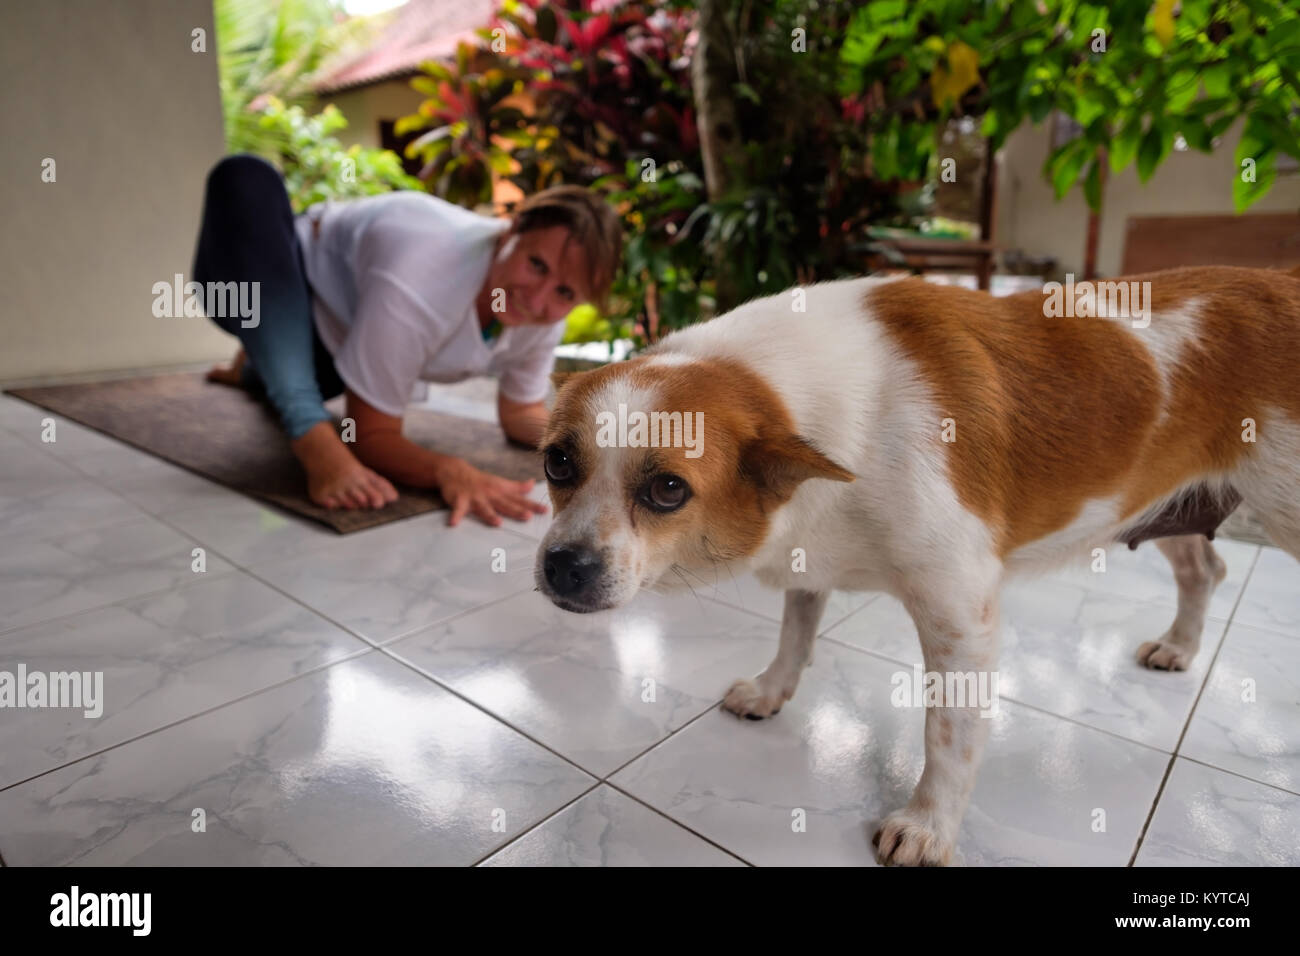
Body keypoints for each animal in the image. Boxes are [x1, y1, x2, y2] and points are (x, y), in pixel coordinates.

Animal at [530, 267, 1300, 868]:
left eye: (667, 489)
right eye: (556, 461)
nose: (563, 566)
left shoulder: (960, 610)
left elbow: (949, 735)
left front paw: (930, 825)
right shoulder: (812, 554)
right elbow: (796, 630)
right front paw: (774, 688)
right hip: (1165, 500)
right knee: (1204, 571)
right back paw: (1181, 646)